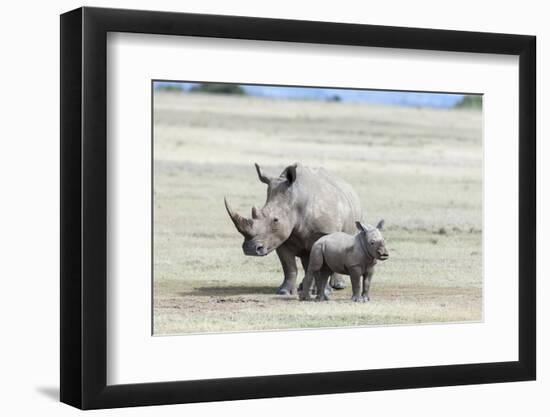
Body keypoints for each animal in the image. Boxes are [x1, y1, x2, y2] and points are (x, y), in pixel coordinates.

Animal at [224, 161, 362, 294]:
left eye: (276, 220)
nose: (251, 249)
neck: (296, 202)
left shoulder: (324, 232)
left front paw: (325, 290)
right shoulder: (279, 238)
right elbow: (289, 266)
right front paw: (284, 291)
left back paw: (337, 286)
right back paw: (305, 287)